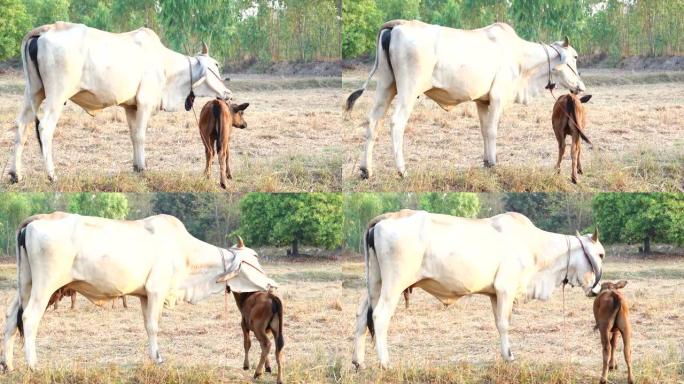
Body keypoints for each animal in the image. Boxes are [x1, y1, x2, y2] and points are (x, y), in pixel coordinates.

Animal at [2, 212, 276, 370]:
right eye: (254, 258)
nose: (271, 285)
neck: (185, 253)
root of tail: (35, 220)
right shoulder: (156, 291)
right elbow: (154, 326)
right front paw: (158, 358)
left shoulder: (145, 296)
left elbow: (147, 326)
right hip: (45, 286)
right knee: (29, 318)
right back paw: (32, 365)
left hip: (25, 285)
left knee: (11, 318)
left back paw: (8, 364)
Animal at [8, 21, 232, 182]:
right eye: (215, 65)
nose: (228, 93)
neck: (166, 67)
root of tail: (46, 29)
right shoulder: (144, 103)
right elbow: (140, 136)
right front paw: (143, 168)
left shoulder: (131, 107)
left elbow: (133, 136)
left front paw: (136, 166)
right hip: (57, 95)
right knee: (45, 128)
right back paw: (51, 175)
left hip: (33, 92)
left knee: (21, 126)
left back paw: (15, 174)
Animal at [348, 20, 588, 178]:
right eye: (575, 57)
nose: (581, 87)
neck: (521, 59)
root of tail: (397, 25)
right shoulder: (497, 98)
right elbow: (492, 131)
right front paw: (494, 163)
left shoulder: (483, 102)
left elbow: (484, 131)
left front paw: (487, 162)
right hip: (408, 90)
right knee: (396, 123)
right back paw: (401, 170)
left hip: (386, 86)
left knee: (373, 122)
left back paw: (365, 169)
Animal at [352, 210, 604, 368]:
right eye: (600, 254)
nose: (597, 290)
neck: (534, 247)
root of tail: (386, 218)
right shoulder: (505, 289)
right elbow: (504, 324)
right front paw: (509, 356)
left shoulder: (494, 294)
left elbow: (498, 323)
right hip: (394, 284)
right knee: (379, 316)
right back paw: (385, 363)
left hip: (375, 283)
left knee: (362, 315)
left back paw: (358, 362)